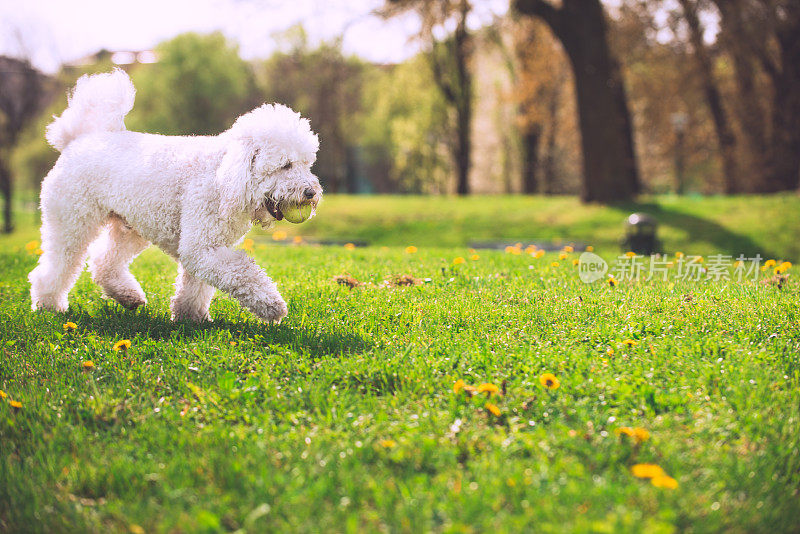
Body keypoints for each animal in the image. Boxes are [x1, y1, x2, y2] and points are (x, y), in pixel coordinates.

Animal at [28, 69, 322, 324]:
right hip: (72, 221)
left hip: (130, 226)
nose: (311, 192)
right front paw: (272, 306)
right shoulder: (202, 246)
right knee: (57, 264)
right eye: (285, 165)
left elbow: (195, 286)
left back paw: (129, 297)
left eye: (306, 164)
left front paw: (191, 317)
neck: (223, 174)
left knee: (103, 261)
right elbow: (242, 272)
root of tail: (78, 138)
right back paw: (48, 305)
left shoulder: (205, 248)